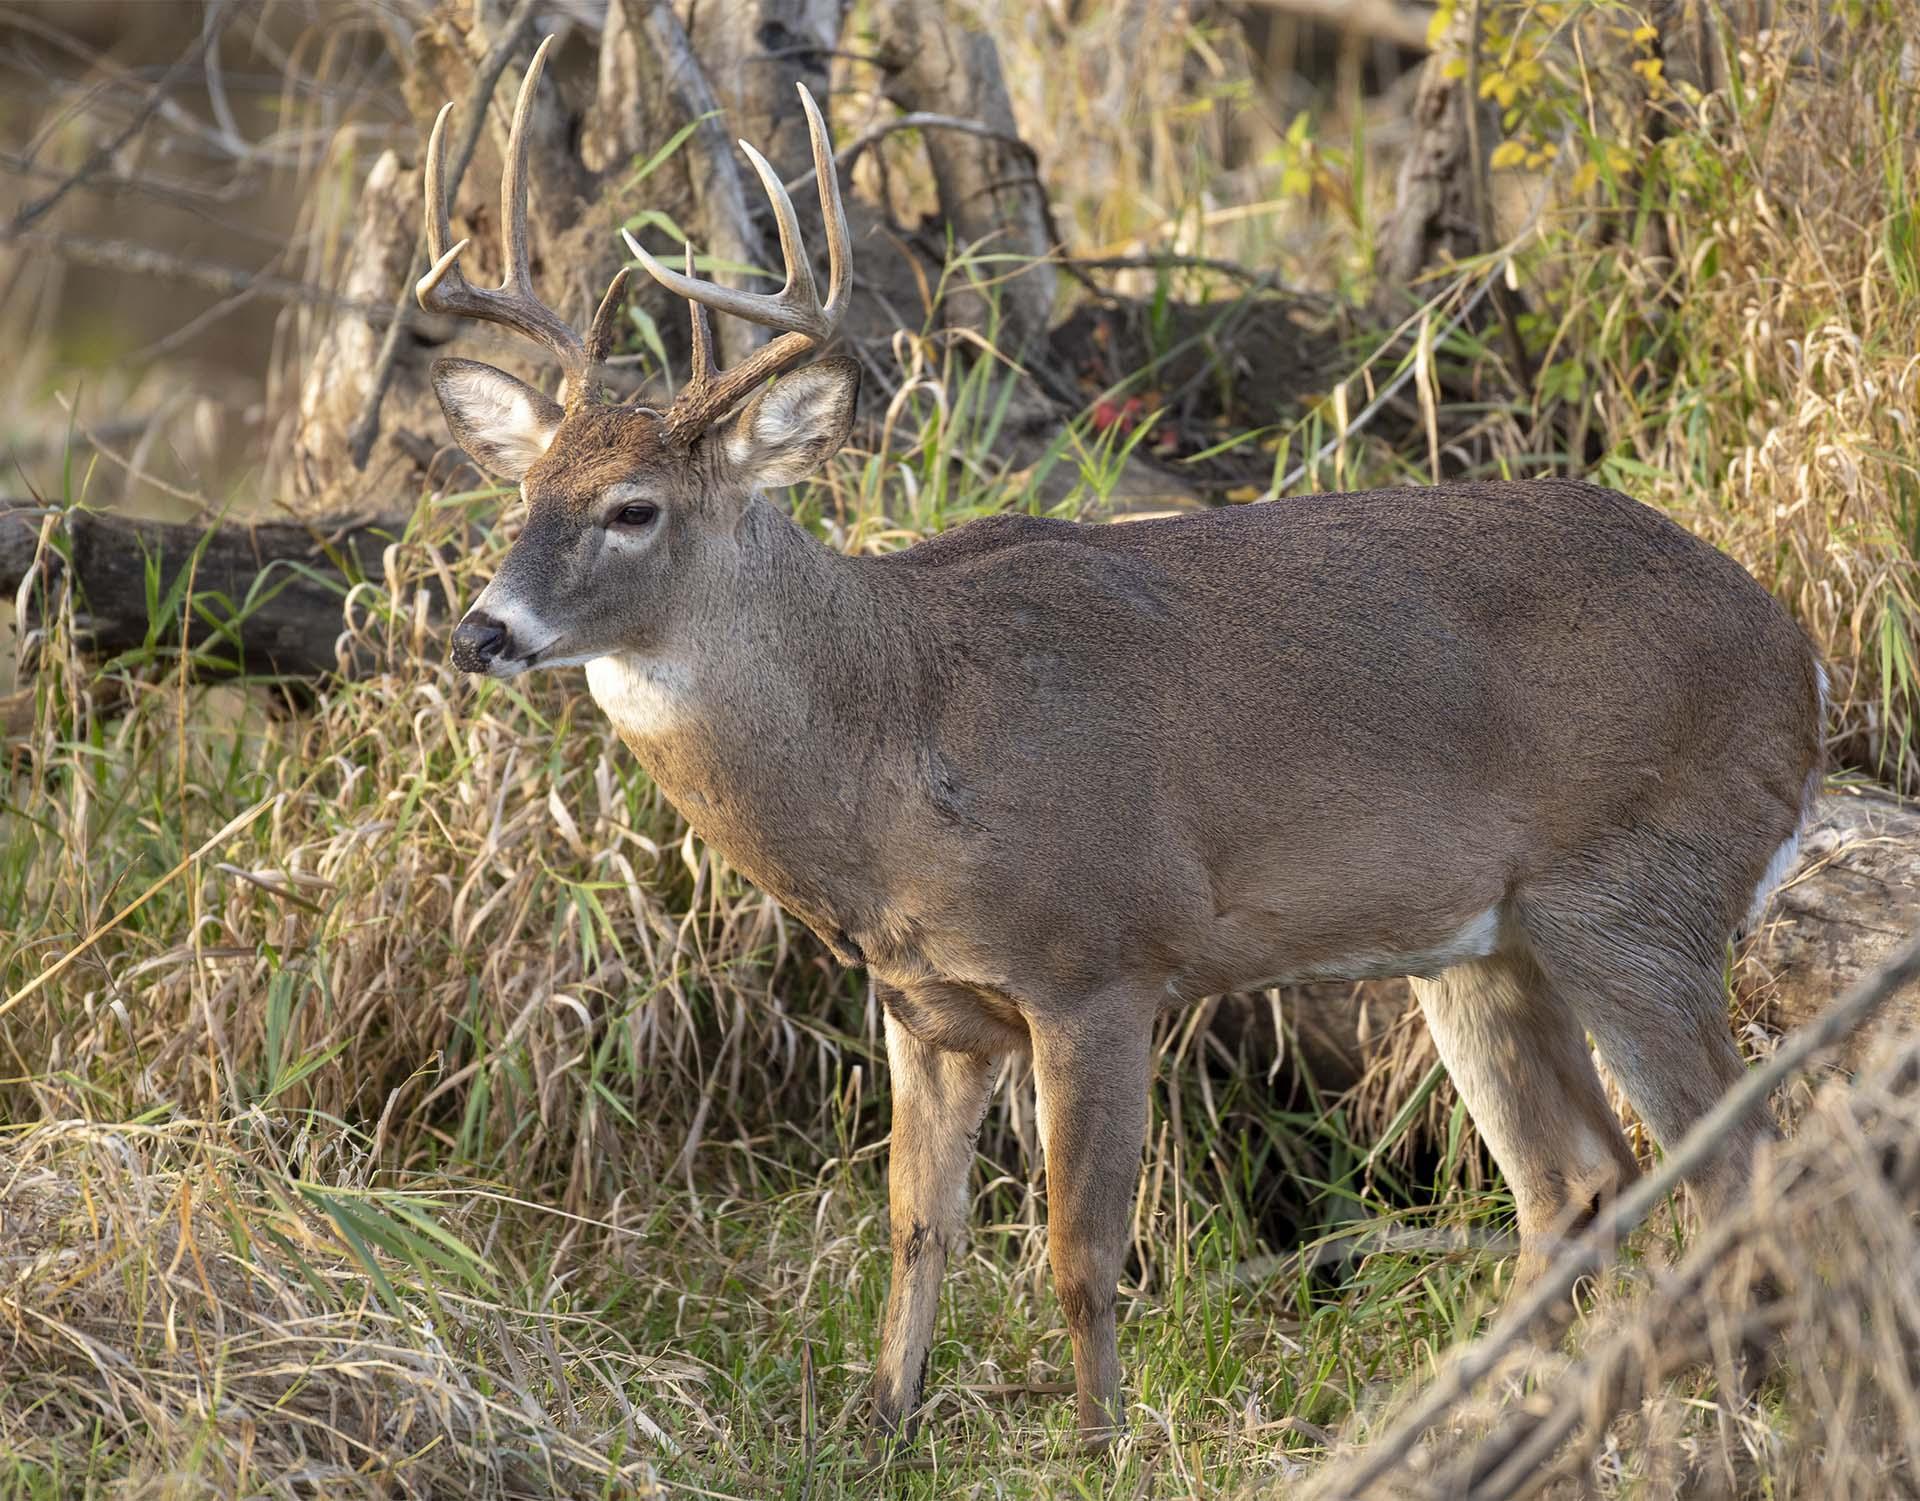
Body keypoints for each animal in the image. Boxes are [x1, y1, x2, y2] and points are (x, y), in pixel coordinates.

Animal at [420, 35, 1827, 1443]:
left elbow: (1078, 1245)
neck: (899, 737)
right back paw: (1480, 1411)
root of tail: (1803, 662)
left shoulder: (1099, 958)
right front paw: (883, 1418)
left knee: (1738, 1160)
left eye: (632, 508)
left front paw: (1098, 1438)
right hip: (1481, 944)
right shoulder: (925, 1003)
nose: (482, 628)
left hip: (1636, 892)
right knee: (1576, 1179)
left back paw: (1729, 1409)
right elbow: (915, 1224)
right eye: (523, 492)